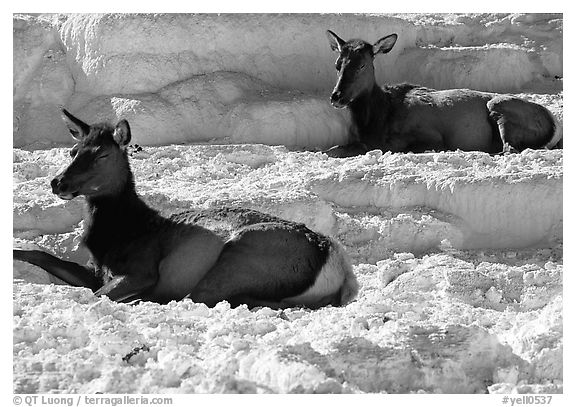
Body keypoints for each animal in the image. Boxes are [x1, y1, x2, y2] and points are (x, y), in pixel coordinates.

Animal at [12, 109, 356, 310]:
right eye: (73, 150)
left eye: (102, 155)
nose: (58, 182)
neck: (118, 234)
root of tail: (338, 267)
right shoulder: (97, 270)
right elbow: (41, 255)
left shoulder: (142, 270)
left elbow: (98, 297)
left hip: (242, 254)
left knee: (199, 297)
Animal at [324, 29, 564, 158]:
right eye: (337, 64)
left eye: (363, 65)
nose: (337, 96)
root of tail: (555, 125)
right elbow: (331, 149)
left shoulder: (431, 136)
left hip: (499, 106)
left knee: (510, 149)